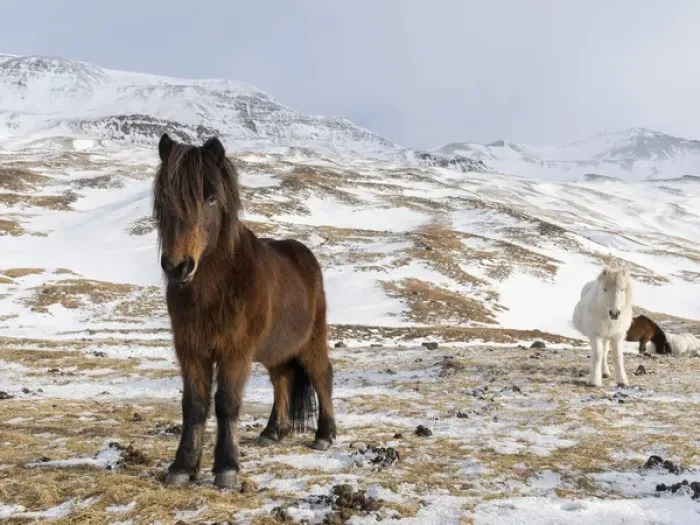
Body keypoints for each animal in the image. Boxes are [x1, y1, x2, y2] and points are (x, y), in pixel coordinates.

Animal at [152, 133, 336, 489]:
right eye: (163, 197)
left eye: (211, 197)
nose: (178, 267)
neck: (214, 288)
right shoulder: (190, 350)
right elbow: (193, 405)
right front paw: (182, 467)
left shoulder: (234, 350)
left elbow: (226, 403)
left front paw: (226, 469)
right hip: (276, 350)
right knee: (282, 379)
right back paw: (272, 432)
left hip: (311, 341)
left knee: (322, 376)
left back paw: (325, 435)